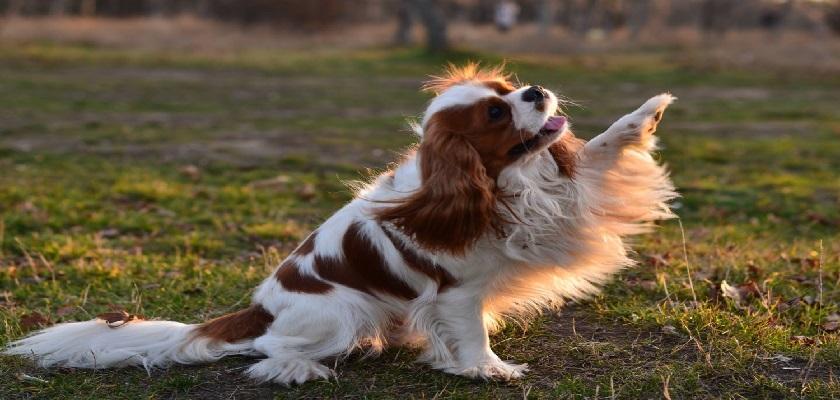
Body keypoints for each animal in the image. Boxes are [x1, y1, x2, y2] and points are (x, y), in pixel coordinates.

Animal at [4, 64, 676, 386]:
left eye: (508, 88)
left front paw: (644, 113)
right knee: (269, 349)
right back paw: (298, 368)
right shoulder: (458, 291)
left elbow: (600, 151)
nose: (535, 90)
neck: (501, 183)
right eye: (495, 113)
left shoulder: (560, 197)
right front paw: (488, 370)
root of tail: (260, 307)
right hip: (342, 312)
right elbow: (472, 334)